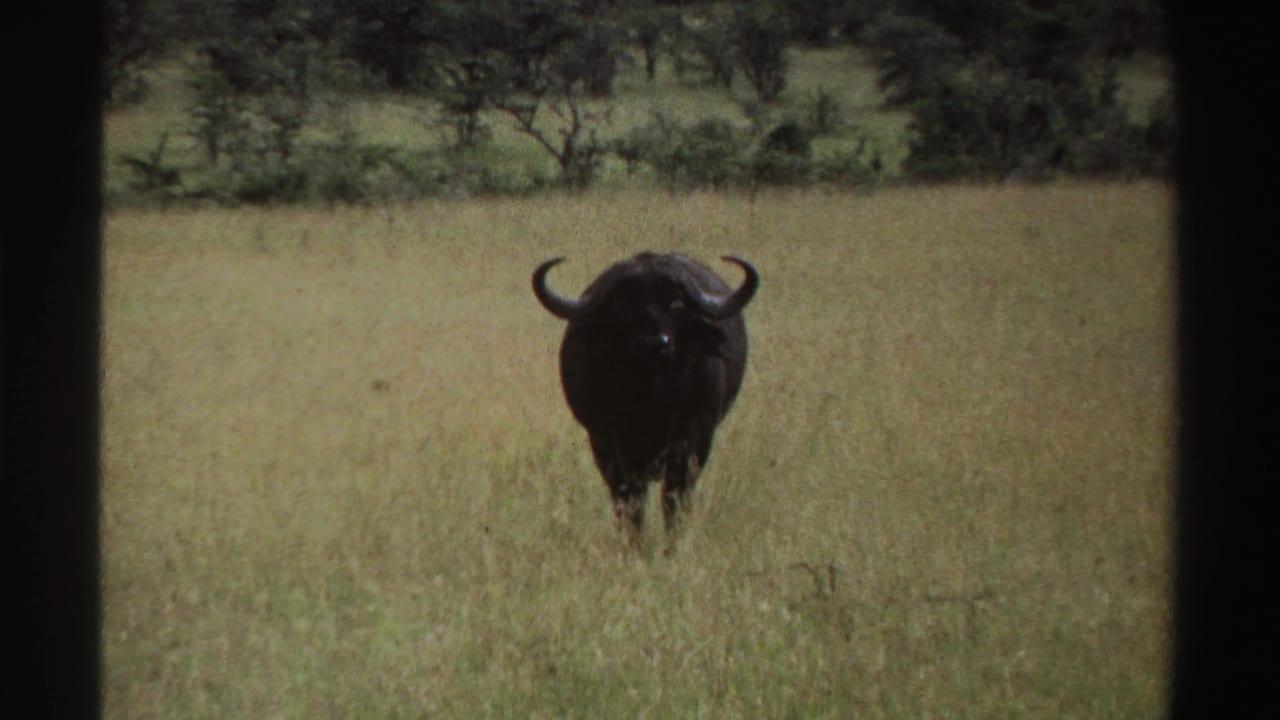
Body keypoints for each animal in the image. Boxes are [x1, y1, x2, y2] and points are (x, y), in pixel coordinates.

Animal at [532, 252, 759, 539]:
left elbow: (674, 501)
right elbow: (633, 502)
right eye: (623, 306)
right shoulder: (619, 447)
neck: (654, 399)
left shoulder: (691, 442)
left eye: (676, 304)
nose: (654, 344)